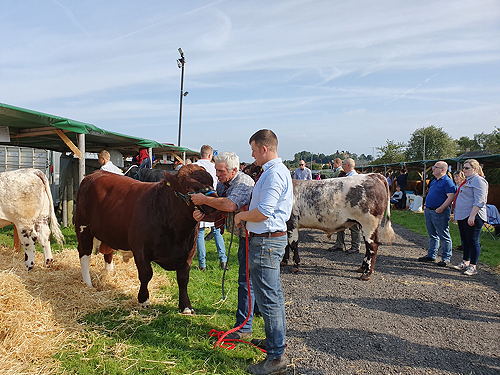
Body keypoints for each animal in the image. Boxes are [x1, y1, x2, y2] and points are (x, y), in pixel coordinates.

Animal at [73, 165, 217, 314]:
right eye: (188, 186)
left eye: (212, 181)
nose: (213, 200)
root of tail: (95, 173)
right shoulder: (140, 249)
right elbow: (146, 274)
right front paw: (144, 300)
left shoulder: (189, 251)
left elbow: (183, 278)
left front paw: (186, 307)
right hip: (83, 228)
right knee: (84, 254)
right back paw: (88, 284)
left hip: (108, 232)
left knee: (108, 252)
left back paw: (109, 273)